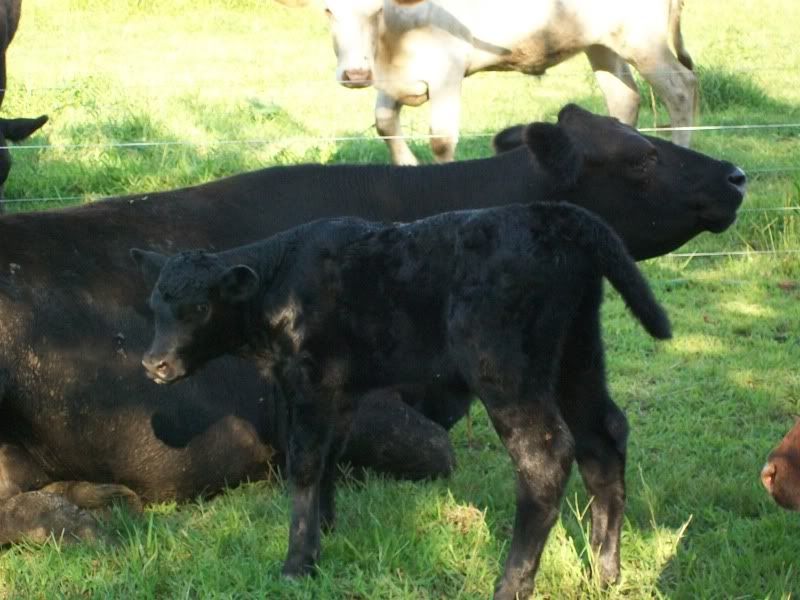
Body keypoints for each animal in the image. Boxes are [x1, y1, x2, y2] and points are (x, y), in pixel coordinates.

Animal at [132, 201, 672, 599]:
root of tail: (558, 214)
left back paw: (512, 584)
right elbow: (329, 456)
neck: (281, 281)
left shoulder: (307, 384)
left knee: (546, 457)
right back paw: (605, 571)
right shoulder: (340, 391)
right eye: (155, 304)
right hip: (578, 354)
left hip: (504, 369)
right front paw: (325, 530)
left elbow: (303, 465)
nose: (154, 364)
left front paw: (297, 562)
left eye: (199, 308)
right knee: (604, 438)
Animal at [277, 0, 697, 164]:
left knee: (680, 88)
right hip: (601, 44)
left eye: (376, 9)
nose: (355, 75)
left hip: (643, 40)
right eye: (328, 10)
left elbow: (440, 140)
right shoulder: (390, 78)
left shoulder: (447, 72)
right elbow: (383, 122)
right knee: (624, 98)